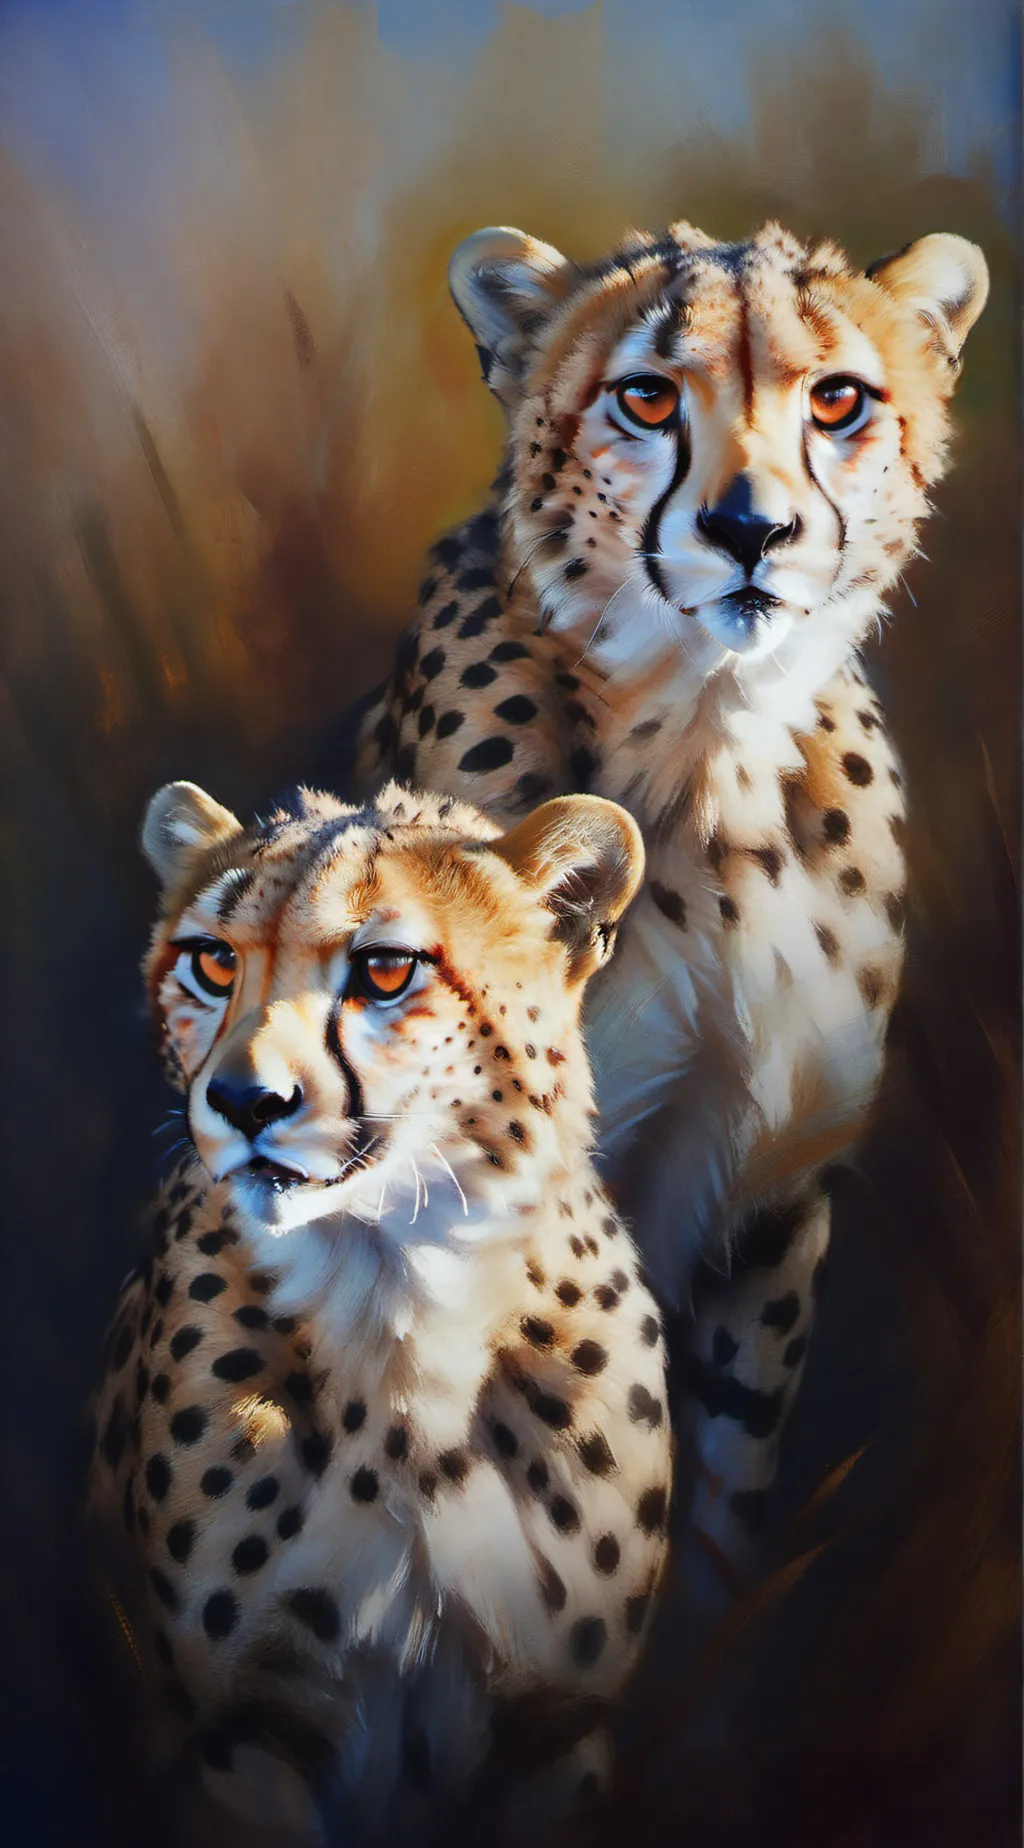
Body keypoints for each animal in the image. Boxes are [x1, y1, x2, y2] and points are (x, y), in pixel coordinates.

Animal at [88, 775, 672, 1846]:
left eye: (386, 970)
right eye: (213, 960)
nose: (245, 1100)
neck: (397, 1289)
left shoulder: (556, 1727)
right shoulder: (240, 1731)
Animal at [354, 215, 989, 1596]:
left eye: (836, 399)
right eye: (646, 397)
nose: (752, 529)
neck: (709, 747)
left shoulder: (767, 1200)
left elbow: (721, 1490)